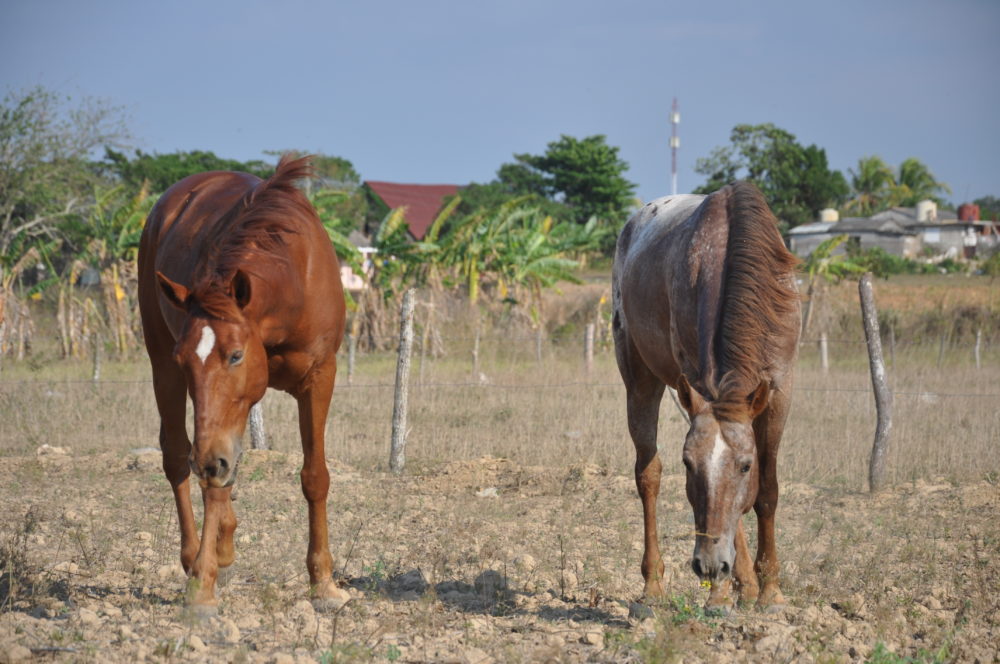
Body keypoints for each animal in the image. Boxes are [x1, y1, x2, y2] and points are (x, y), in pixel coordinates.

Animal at [137, 156, 348, 612]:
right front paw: (202, 582)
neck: (291, 280)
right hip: (160, 365)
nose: (208, 461)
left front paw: (323, 583)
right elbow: (213, 483)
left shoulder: (320, 376)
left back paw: (224, 542)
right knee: (179, 457)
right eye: (186, 359)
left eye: (235, 355)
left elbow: (315, 476)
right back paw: (195, 554)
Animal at [608, 182, 796, 612]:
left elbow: (767, 491)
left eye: (745, 466)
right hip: (640, 381)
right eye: (688, 464)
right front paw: (723, 593)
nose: (709, 566)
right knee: (648, 475)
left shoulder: (779, 391)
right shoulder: (699, 387)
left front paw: (770, 591)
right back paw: (655, 586)